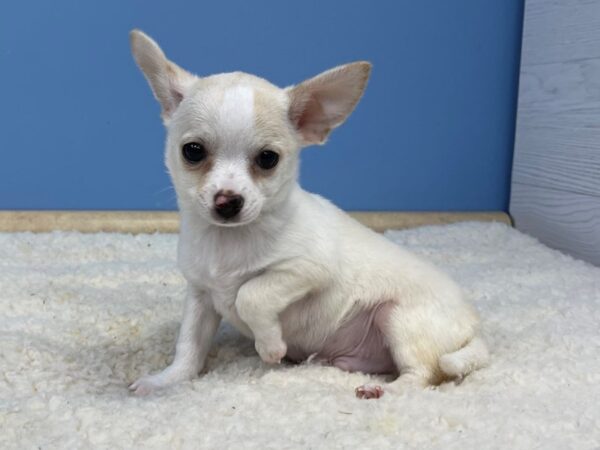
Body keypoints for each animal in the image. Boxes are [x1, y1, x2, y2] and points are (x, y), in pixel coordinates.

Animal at [127, 29, 488, 400]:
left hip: (399, 318)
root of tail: (474, 328)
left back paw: (383, 390)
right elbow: (189, 348)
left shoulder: (307, 269)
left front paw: (270, 347)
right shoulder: (201, 296)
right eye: (193, 151)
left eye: (268, 159)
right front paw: (166, 381)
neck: (228, 242)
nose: (227, 200)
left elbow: (250, 295)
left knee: (424, 376)